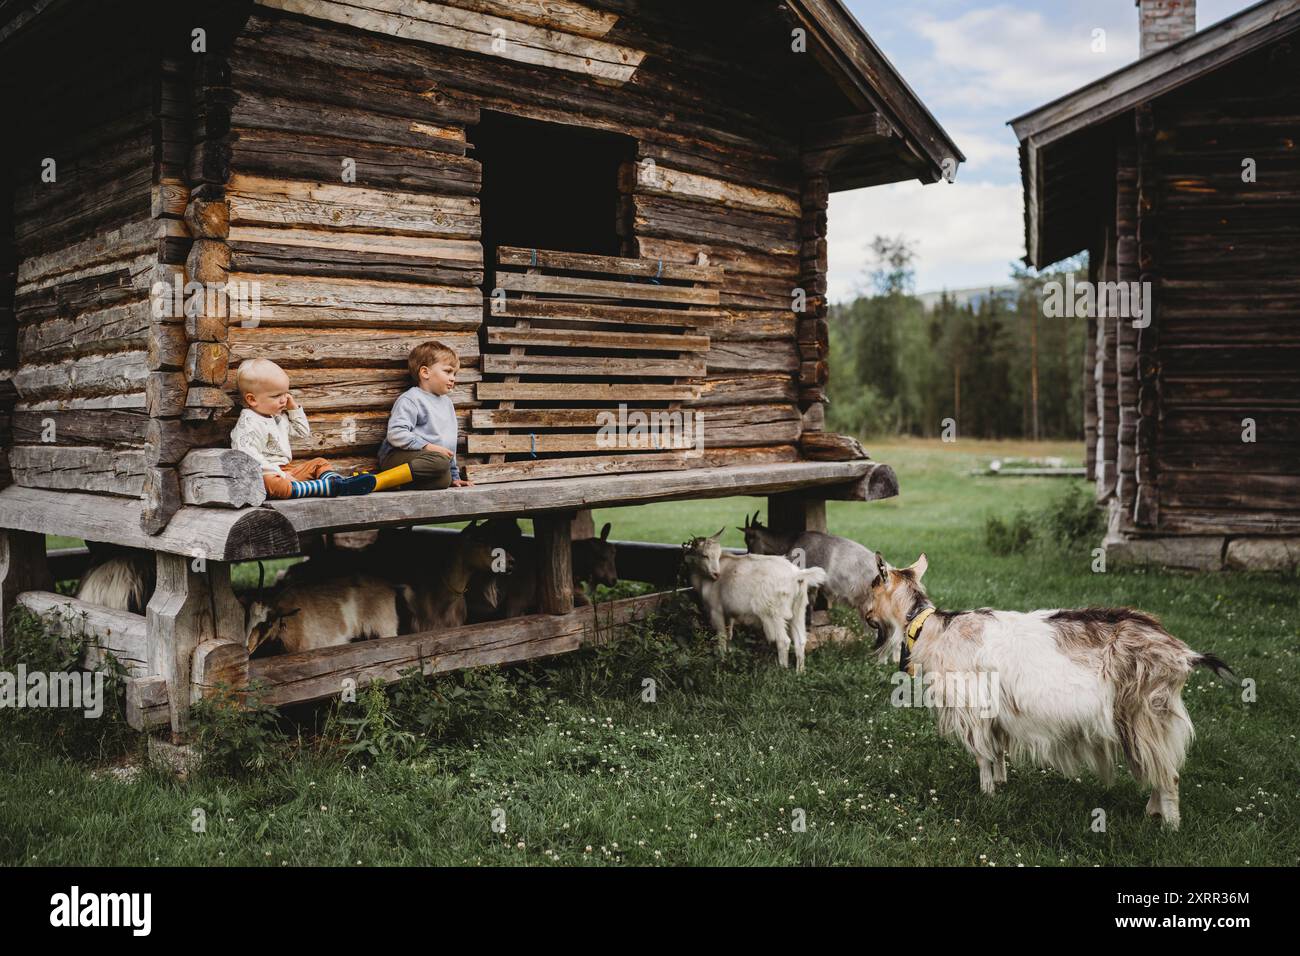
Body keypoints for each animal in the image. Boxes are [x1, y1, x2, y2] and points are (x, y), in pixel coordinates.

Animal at [681, 530, 821, 671]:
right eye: (705, 555)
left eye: (716, 554)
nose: (716, 574)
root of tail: (796, 575)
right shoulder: (729, 613)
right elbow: (729, 634)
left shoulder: (716, 610)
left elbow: (721, 636)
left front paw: (720, 660)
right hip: (799, 609)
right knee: (800, 640)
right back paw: (799, 672)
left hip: (773, 613)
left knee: (783, 641)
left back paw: (782, 669)